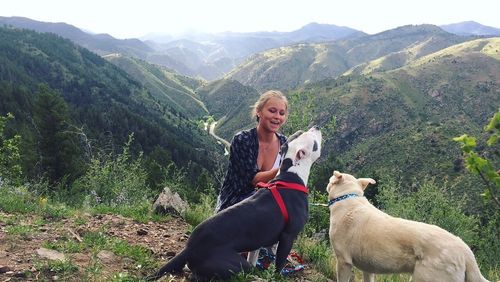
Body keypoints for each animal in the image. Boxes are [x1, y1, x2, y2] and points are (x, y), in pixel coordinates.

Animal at [146, 127, 322, 280]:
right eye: (314, 142)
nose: (317, 127)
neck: (291, 173)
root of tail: (189, 248)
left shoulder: (258, 243)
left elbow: (254, 258)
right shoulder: (288, 236)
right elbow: (279, 264)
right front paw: (278, 276)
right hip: (234, 264)